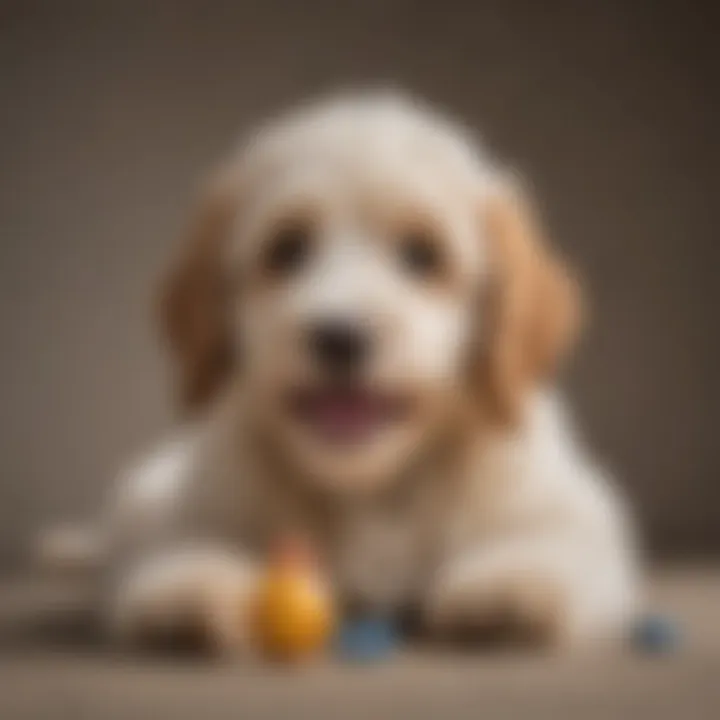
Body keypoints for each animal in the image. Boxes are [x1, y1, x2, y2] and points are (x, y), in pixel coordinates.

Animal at [64, 90, 640, 652]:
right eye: (286, 248)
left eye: (422, 254)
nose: (339, 336)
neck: (369, 492)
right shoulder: (199, 507)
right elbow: (185, 544)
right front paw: (191, 589)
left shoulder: (573, 512)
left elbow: (553, 546)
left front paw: (512, 586)